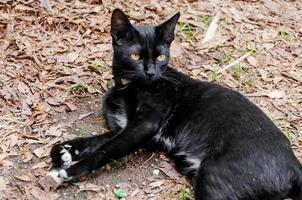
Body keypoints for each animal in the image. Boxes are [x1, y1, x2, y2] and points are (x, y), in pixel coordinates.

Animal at [48, 9, 300, 200]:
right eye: (136, 57)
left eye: (160, 57)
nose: (150, 72)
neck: (127, 88)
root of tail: (293, 164)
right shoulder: (126, 127)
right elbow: (97, 141)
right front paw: (65, 150)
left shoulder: (144, 126)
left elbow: (106, 150)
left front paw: (68, 171)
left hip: (215, 179)